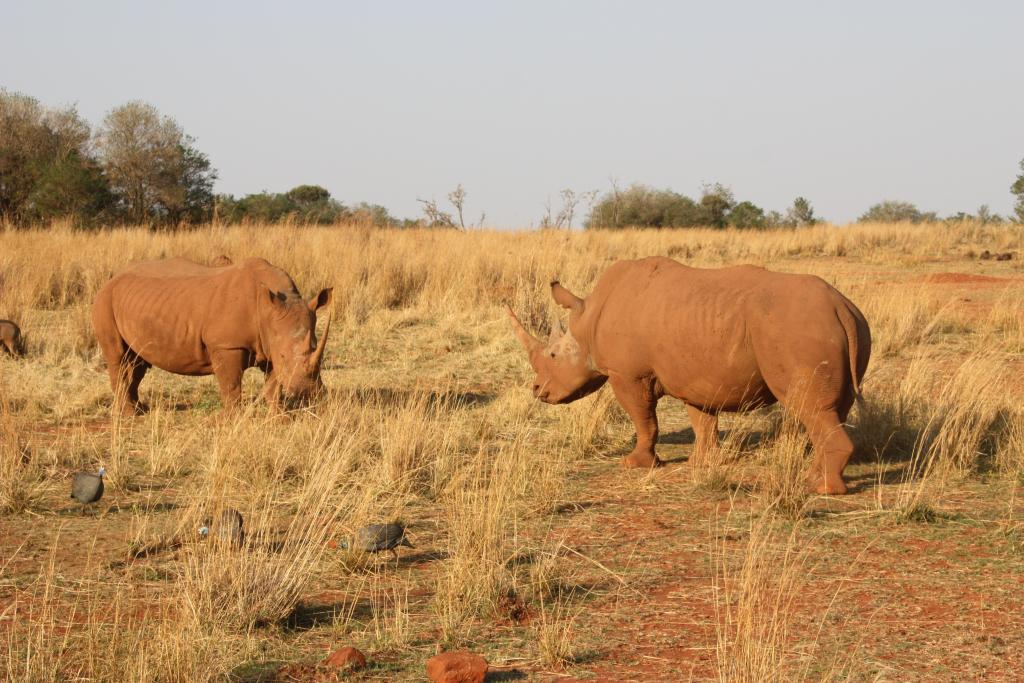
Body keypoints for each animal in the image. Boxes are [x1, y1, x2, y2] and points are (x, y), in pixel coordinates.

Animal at [92, 257, 332, 414]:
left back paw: (140, 409)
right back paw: (129, 416)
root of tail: (111, 279)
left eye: (317, 348)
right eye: (284, 356)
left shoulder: (270, 343)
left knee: (137, 361)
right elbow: (231, 385)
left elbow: (273, 386)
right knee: (118, 357)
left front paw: (279, 419)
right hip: (104, 300)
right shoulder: (227, 345)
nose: (309, 394)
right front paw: (234, 420)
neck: (269, 308)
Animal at [507, 257, 871, 495]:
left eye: (553, 356)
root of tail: (841, 307)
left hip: (797, 328)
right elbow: (702, 421)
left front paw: (635, 464)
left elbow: (644, 420)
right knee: (831, 412)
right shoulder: (696, 378)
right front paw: (701, 463)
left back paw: (823, 490)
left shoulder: (628, 375)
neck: (588, 319)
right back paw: (813, 480)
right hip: (848, 326)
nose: (537, 389)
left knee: (811, 409)